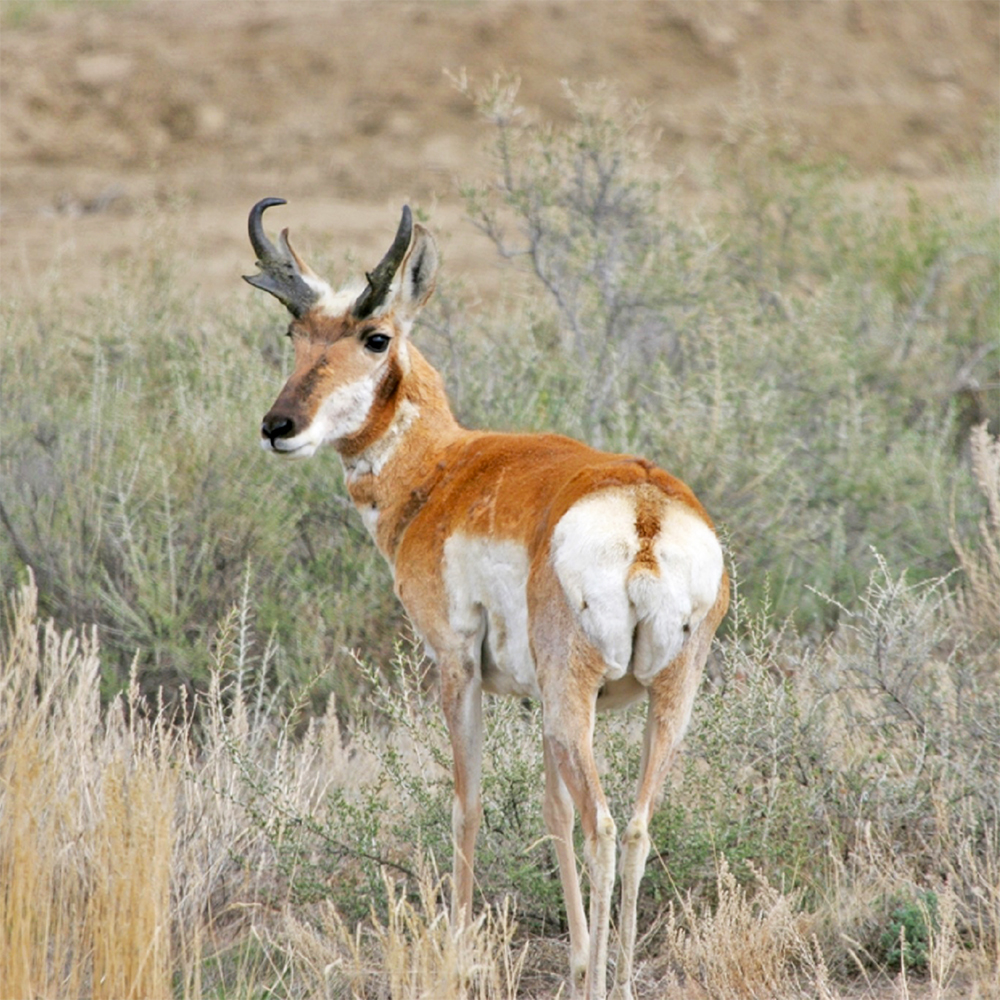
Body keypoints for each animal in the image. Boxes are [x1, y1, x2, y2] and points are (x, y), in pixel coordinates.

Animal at [245, 198, 729, 1000]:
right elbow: (551, 812)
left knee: (603, 826)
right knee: (632, 826)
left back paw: (604, 981)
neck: (447, 470)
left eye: (376, 336)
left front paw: (458, 953)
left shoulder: (456, 667)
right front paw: (574, 959)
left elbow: (466, 805)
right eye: (295, 333)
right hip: (659, 698)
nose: (279, 427)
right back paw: (621, 976)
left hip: (575, 698)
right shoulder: (540, 703)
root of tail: (643, 511)